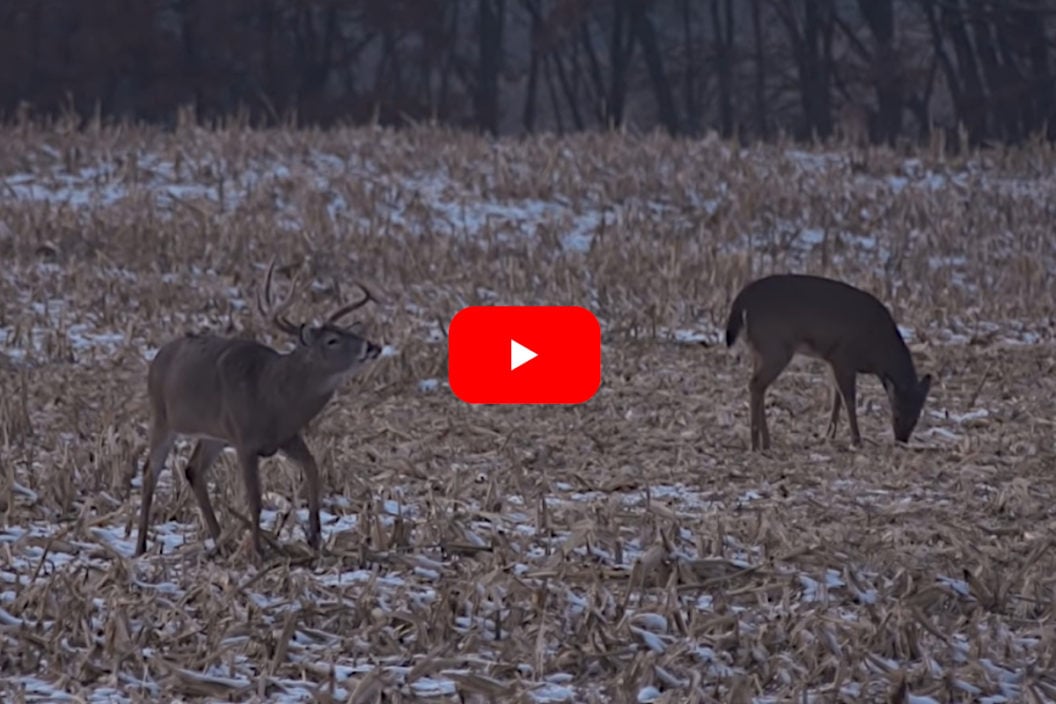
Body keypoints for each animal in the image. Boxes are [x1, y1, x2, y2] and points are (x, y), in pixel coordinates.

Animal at [136, 261, 382, 557]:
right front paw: (259, 552)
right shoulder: (245, 440)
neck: (273, 396)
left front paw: (315, 538)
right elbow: (254, 499)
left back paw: (220, 541)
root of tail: (158, 357)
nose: (372, 346)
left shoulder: (287, 436)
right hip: (162, 417)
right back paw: (140, 546)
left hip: (214, 434)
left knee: (193, 469)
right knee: (150, 471)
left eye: (353, 333)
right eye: (332, 340)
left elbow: (313, 469)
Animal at [726, 272, 933, 449]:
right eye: (895, 414)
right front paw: (856, 440)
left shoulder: (831, 360)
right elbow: (848, 399)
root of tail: (742, 300)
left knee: (759, 386)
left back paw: (765, 441)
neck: (878, 353)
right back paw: (756, 443)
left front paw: (829, 434)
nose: (901, 440)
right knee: (756, 385)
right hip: (775, 347)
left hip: (759, 349)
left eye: (917, 417)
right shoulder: (843, 357)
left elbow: (836, 397)